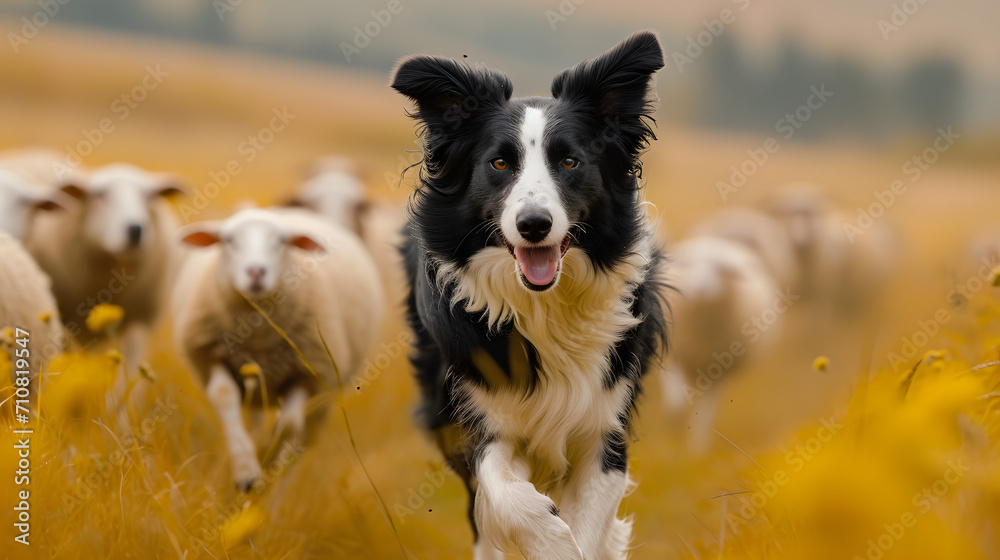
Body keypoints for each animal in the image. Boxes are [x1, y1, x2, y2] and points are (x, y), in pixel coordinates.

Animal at [173, 208, 382, 488]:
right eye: (229, 240)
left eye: (282, 241)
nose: (256, 272)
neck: (258, 333)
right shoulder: (209, 356)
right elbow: (224, 396)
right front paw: (247, 472)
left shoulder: (309, 373)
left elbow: (289, 424)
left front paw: (266, 459)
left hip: (326, 394)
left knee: (300, 445)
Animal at [394, 31, 668, 560]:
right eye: (499, 162)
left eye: (570, 161)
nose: (534, 224)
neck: (544, 307)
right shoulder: (478, 415)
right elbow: (504, 496)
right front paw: (550, 540)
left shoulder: (604, 425)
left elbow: (591, 522)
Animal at [664, 235, 780, 450]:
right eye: (692, 266)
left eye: (719, 271)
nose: (699, 288)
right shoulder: (674, 354)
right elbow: (675, 397)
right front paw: (674, 421)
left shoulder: (717, 371)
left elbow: (705, 412)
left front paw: (697, 446)